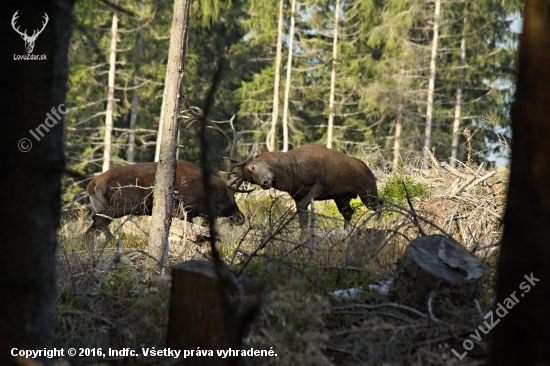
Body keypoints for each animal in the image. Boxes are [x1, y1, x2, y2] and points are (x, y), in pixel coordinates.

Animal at [85, 159, 245, 239]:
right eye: (231, 198)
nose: (241, 217)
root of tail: (91, 185)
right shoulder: (184, 208)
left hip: (102, 205)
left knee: (89, 231)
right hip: (125, 204)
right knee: (97, 218)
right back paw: (113, 241)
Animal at [183, 106, 382, 227]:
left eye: (252, 167)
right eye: (249, 180)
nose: (265, 183)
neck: (296, 175)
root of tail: (370, 171)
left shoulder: (324, 183)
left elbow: (304, 207)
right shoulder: (297, 195)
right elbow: (301, 215)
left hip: (367, 190)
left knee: (379, 204)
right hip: (343, 198)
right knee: (349, 213)